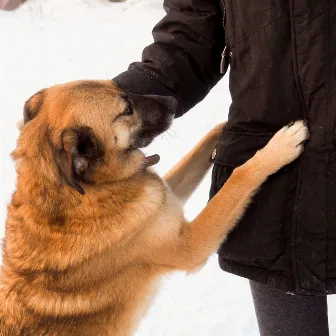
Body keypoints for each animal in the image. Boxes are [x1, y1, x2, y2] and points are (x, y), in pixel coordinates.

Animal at [0, 80, 308, 334]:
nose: (172, 101)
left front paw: (226, 125)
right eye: (126, 109)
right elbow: (239, 179)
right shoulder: (190, 244)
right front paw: (279, 147)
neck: (94, 188)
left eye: (121, 87)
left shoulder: (165, 201)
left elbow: (204, 143)